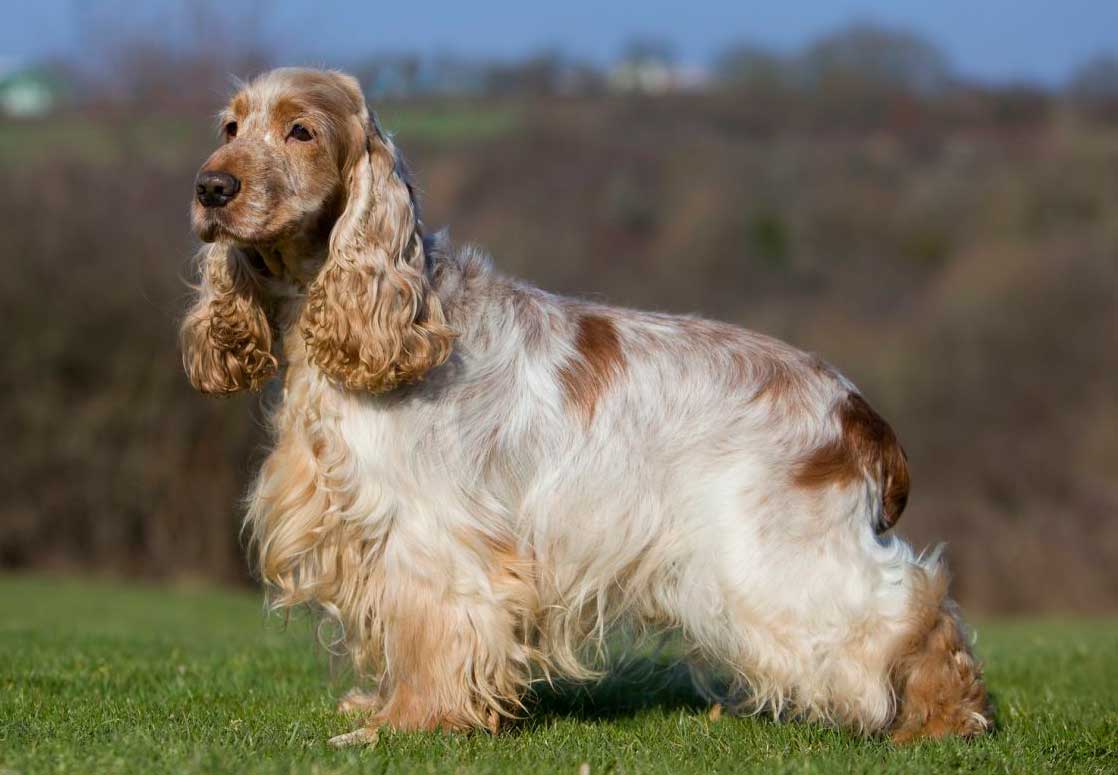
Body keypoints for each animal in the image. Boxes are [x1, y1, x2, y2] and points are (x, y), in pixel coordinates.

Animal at [178, 66, 992, 742]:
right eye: (230, 126)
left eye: (301, 130)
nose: (210, 188)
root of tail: (856, 409)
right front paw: (379, 707)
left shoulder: (432, 532)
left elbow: (436, 629)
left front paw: (409, 722)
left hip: (772, 559)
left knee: (910, 603)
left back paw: (945, 717)